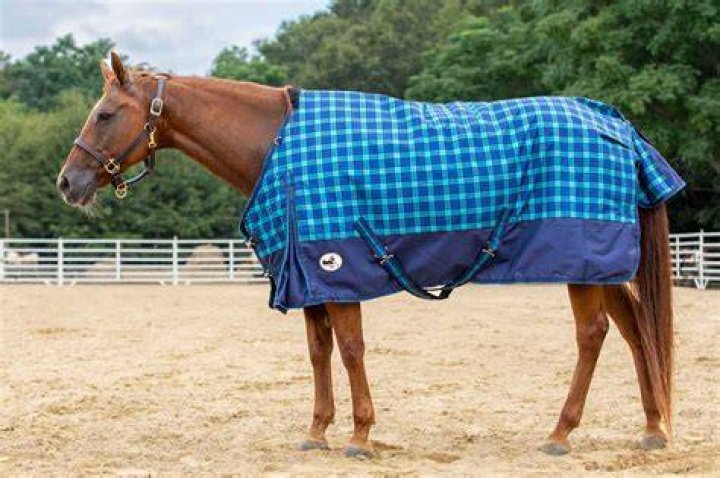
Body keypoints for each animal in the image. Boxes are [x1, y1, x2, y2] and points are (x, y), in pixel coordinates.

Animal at [57, 51, 675, 458]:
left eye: (105, 114)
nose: (67, 182)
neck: (278, 146)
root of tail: (614, 123)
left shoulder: (338, 264)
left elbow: (351, 349)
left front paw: (359, 434)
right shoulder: (307, 275)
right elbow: (319, 352)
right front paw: (317, 431)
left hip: (583, 262)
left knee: (593, 335)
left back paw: (560, 433)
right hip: (599, 266)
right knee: (635, 327)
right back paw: (653, 428)